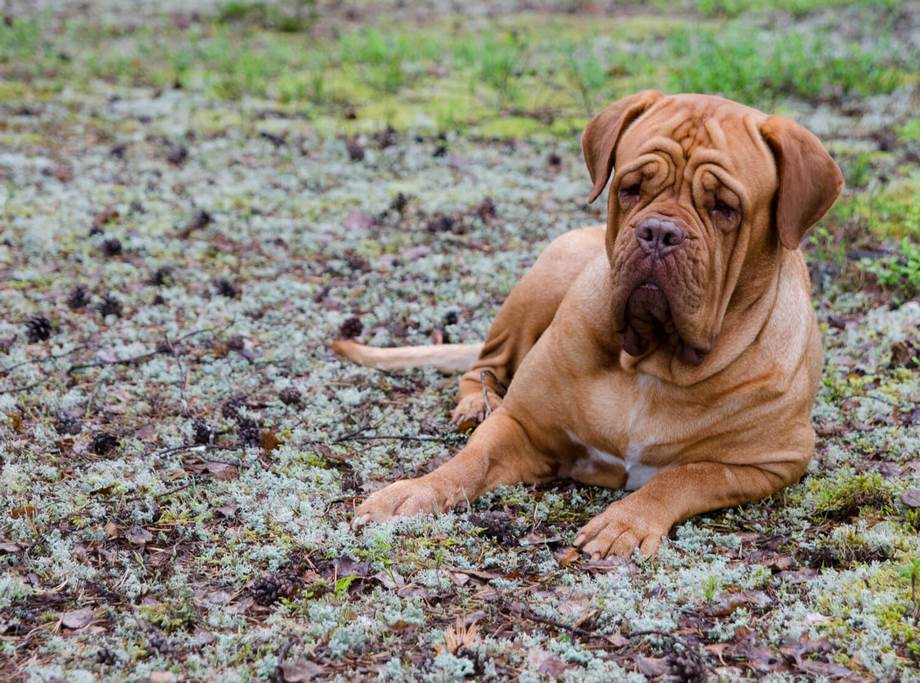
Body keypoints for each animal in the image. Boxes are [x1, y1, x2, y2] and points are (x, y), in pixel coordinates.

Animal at [334, 91, 844, 560]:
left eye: (724, 207)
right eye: (631, 187)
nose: (659, 233)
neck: (654, 360)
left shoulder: (770, 462)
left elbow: (688, 475)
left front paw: (626, 522)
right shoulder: (522, 425)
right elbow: (468, 461)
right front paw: (412, 492)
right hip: (547, 274)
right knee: (485, 363)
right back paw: (476, 405)